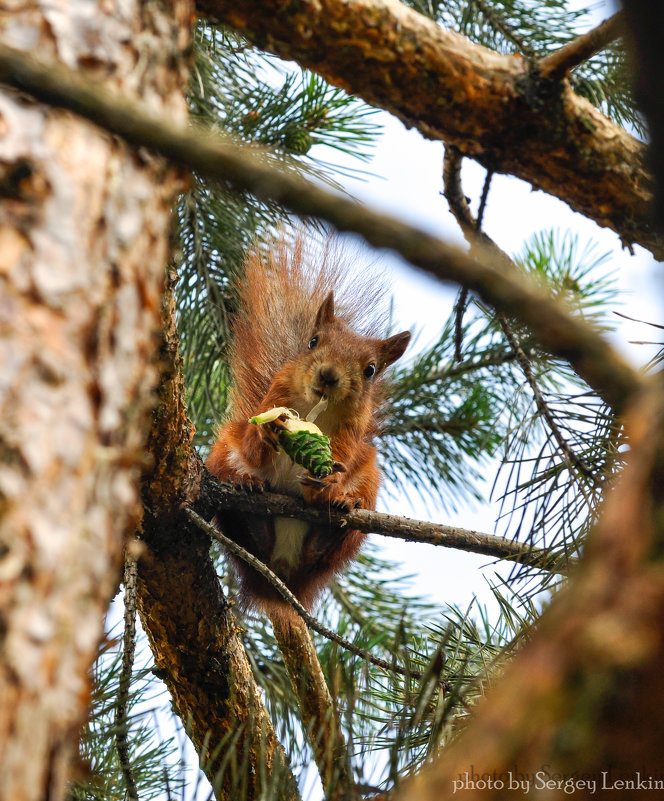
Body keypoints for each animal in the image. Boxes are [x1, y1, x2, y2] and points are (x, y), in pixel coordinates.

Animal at [206, 234, 410, 616]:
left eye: (370, 370)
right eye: (313, 341)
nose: (328, 375)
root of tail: (282, 578)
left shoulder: (350, 433)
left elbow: (340, 455)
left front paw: (328, 481)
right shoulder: (272, 398)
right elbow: (256, 444)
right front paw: (265, 432)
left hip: (369, 482)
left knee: (325, 548)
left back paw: (340, 508)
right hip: (223, 453)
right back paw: (245, 485)